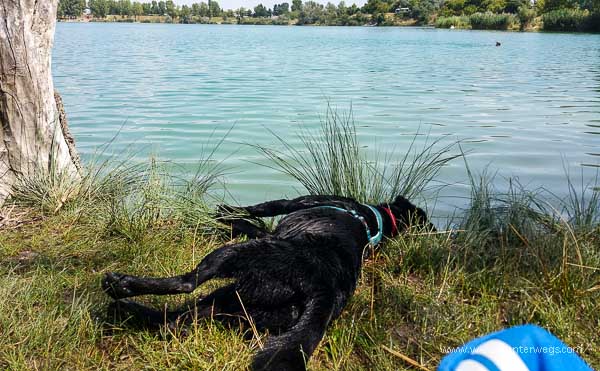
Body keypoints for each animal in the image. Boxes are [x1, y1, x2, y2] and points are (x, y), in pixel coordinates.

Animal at [101, 196, 434, 370]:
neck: (373, 218)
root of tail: (323, 290)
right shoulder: (267, 234)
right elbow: (254, 224)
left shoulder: (298, 203)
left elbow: (259, 210)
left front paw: (226, 212)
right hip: (239, 302)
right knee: (180, 319)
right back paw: (126, 310)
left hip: (236, 259)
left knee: (187, 284)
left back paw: (121, 286)